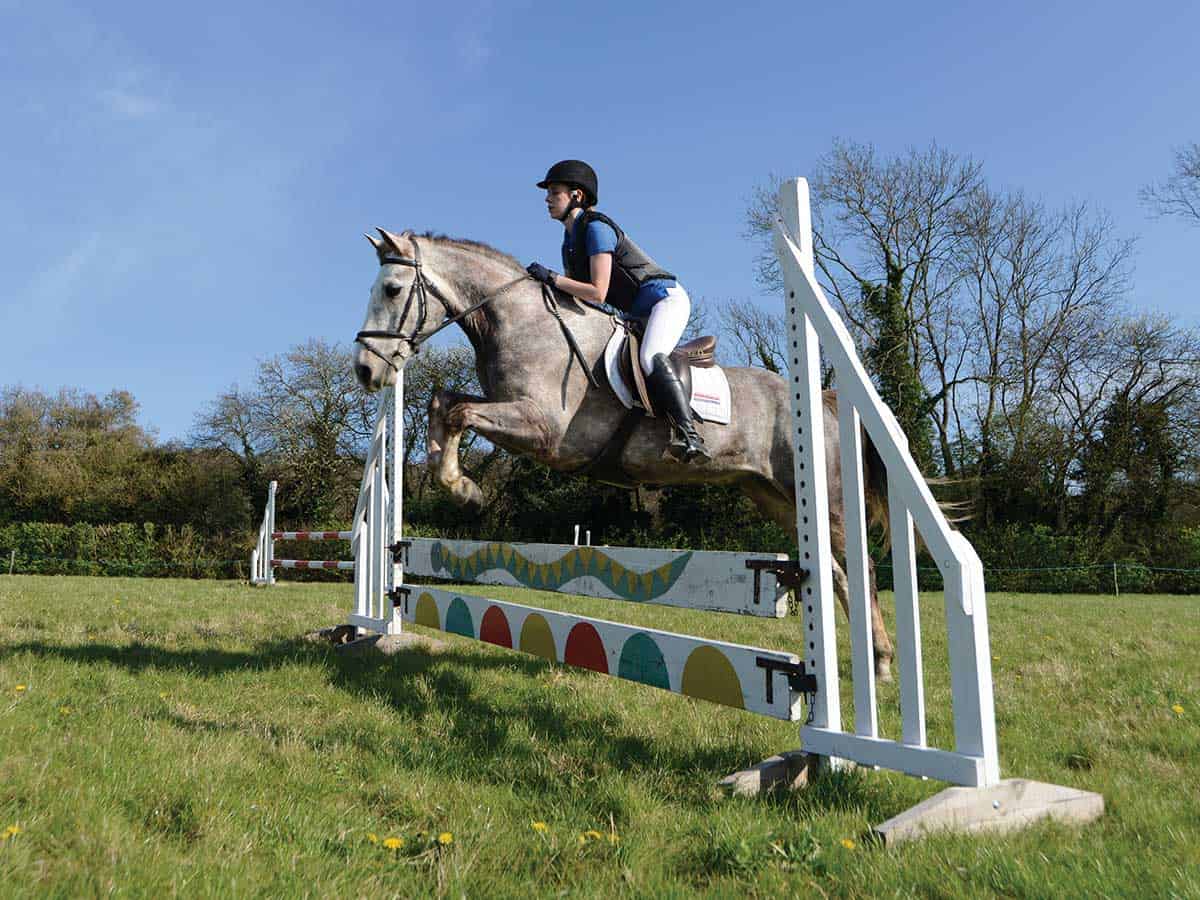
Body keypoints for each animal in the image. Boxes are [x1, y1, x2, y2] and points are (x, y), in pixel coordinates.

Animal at [350, 229, 897, 681]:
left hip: (824, 499)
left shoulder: (545, 431)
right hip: (773, 496)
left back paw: (883, 664)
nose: (365, 370)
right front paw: (458, 484)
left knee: (862, 568)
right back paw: (868, 661)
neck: (518, 322)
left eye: (392, 290)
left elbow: (461, 412)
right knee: (835, 572)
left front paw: (466, 490)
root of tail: (821, 400)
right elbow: (443, 404)